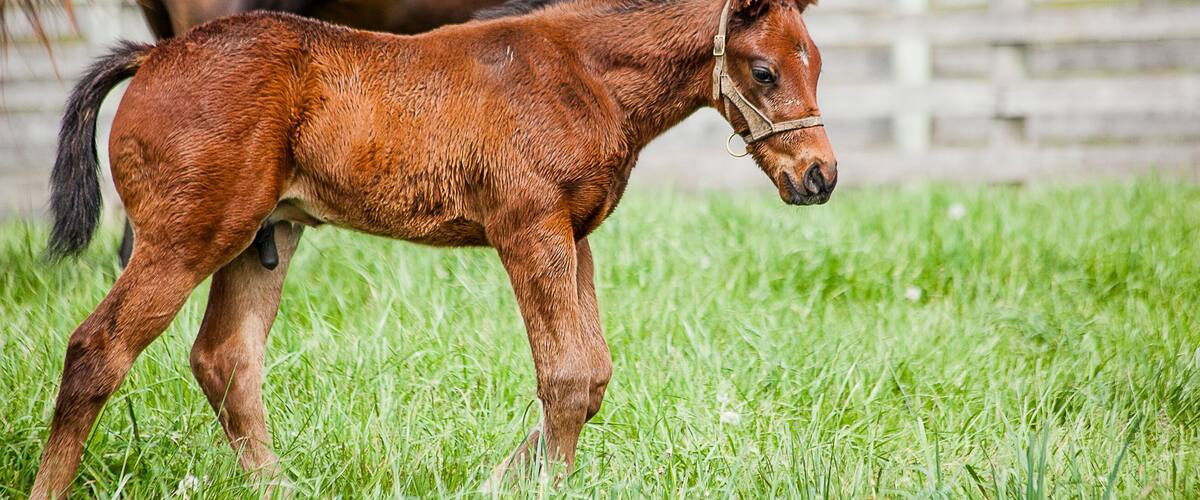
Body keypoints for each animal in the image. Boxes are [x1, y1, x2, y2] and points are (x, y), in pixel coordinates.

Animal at [31, 0, 836, 496]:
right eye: (764, 70)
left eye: (818, 66)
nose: (819, 176)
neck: (583, 73)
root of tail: (153, 55)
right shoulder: (528, 229)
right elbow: (568, 375)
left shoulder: (573, 237)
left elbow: (595, 373)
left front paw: (499, 481)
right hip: (185, 237)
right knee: (97, 348)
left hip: (265, 236)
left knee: (226, 359)